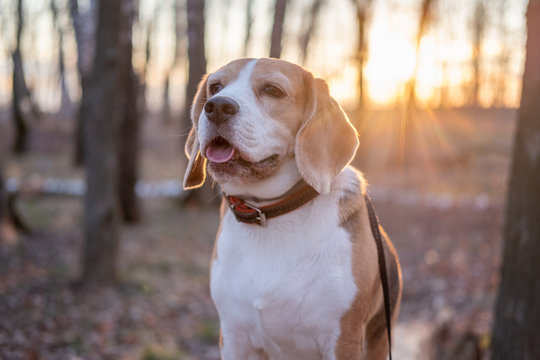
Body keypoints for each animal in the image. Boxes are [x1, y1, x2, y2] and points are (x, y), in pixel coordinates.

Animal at [184, 57, 398, 358]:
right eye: (215, 87)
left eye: (273, 90)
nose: (216, 107)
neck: (271, 214)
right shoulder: (234, 337)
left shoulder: (342, 340)